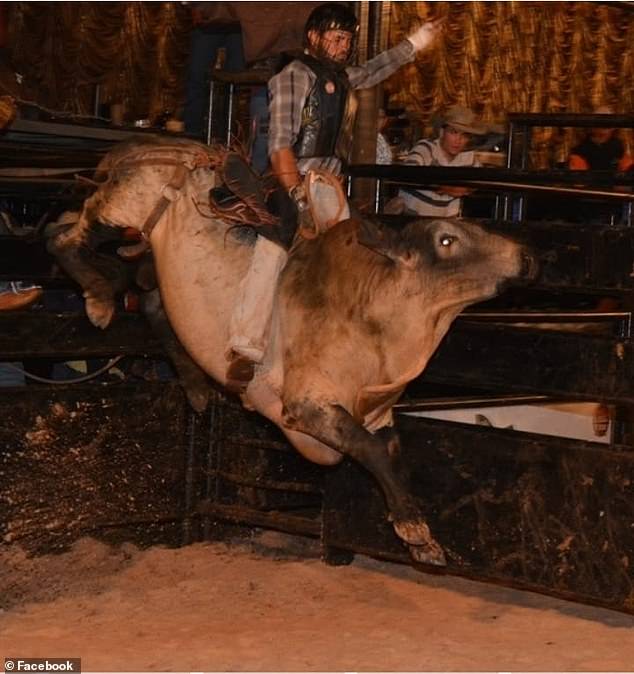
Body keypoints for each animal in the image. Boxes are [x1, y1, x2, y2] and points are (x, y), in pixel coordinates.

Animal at [47, 138, 536, 568]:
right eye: (447, 240)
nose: (527, 258)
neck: (379, 320)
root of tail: (136, 147)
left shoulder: (379, 414)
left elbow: (389, 453)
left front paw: (419, 535)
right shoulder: (308, 403)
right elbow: (368, 451)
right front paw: (416, 532)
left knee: (146, 296)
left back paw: (195, 386)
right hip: (120, 204)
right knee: (64, 234)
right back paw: (97, 298)